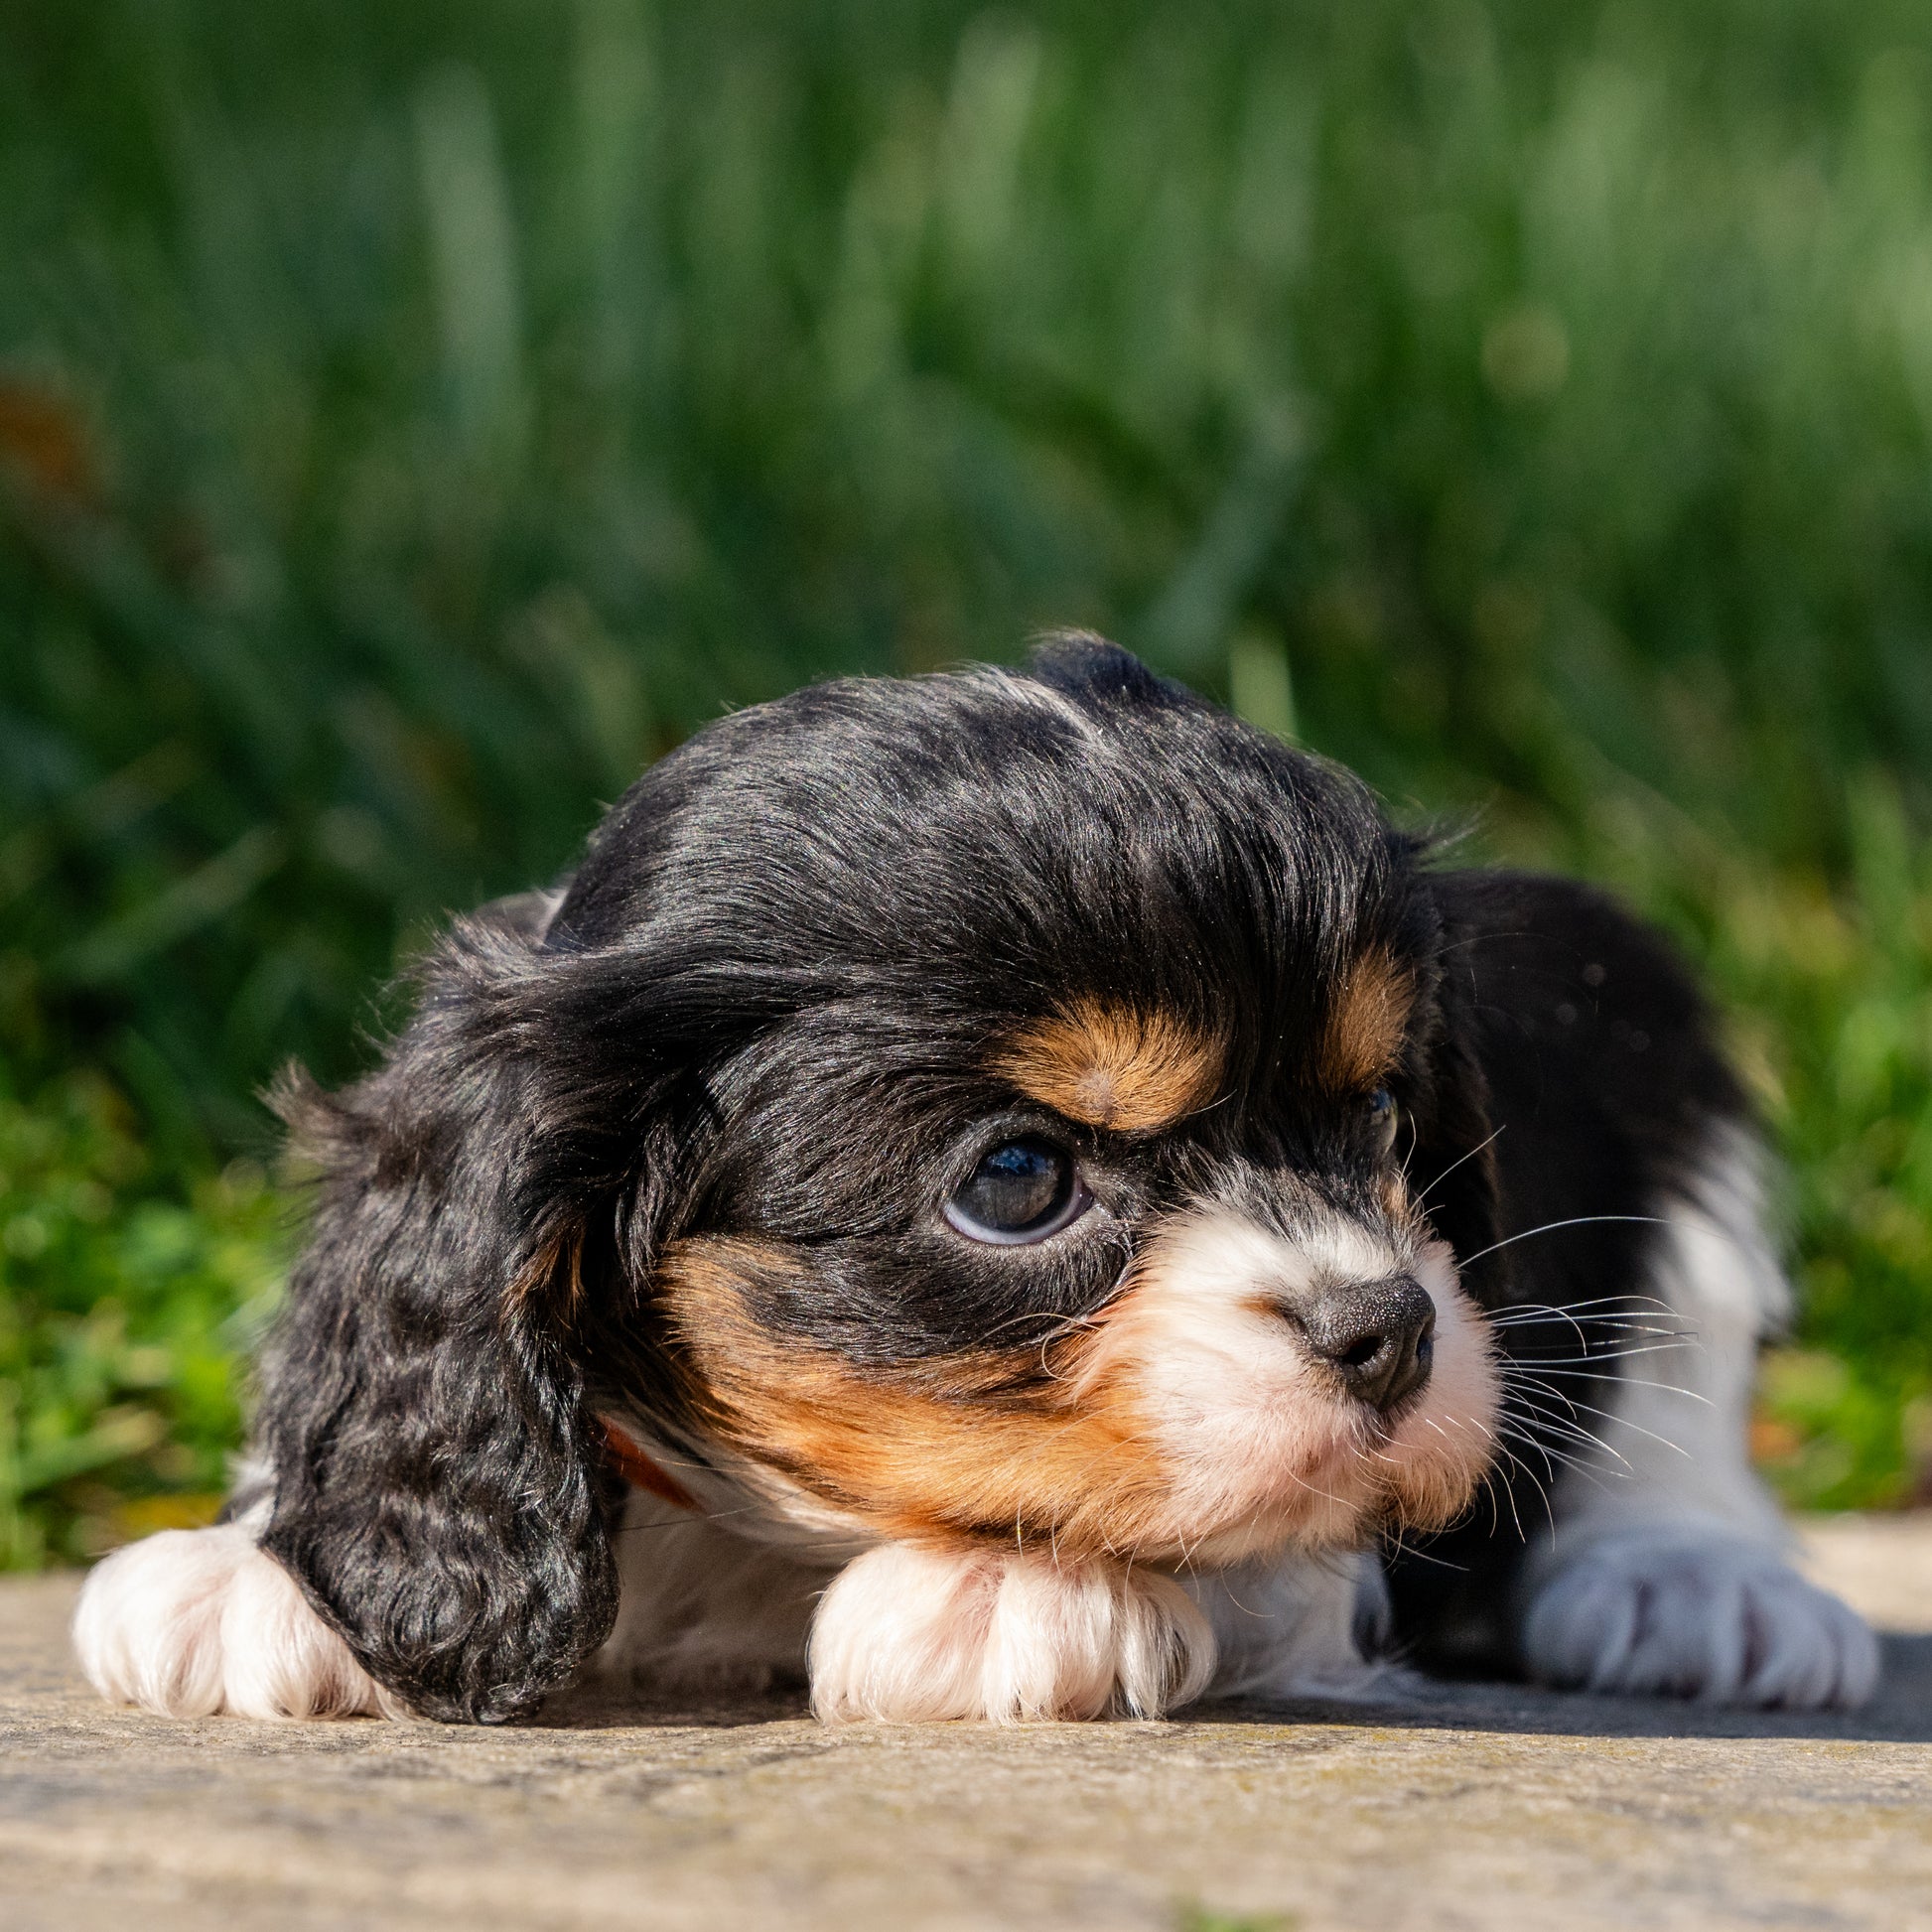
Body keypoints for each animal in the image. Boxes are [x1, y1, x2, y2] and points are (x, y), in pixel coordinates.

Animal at [71, 644, 1869, 1723]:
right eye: (1015, 1180)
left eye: (1374, 1117)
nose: (1388, 1328)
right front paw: (262, 1568)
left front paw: (1017, 1583)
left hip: (1647, 1024)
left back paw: (1696, 1582)